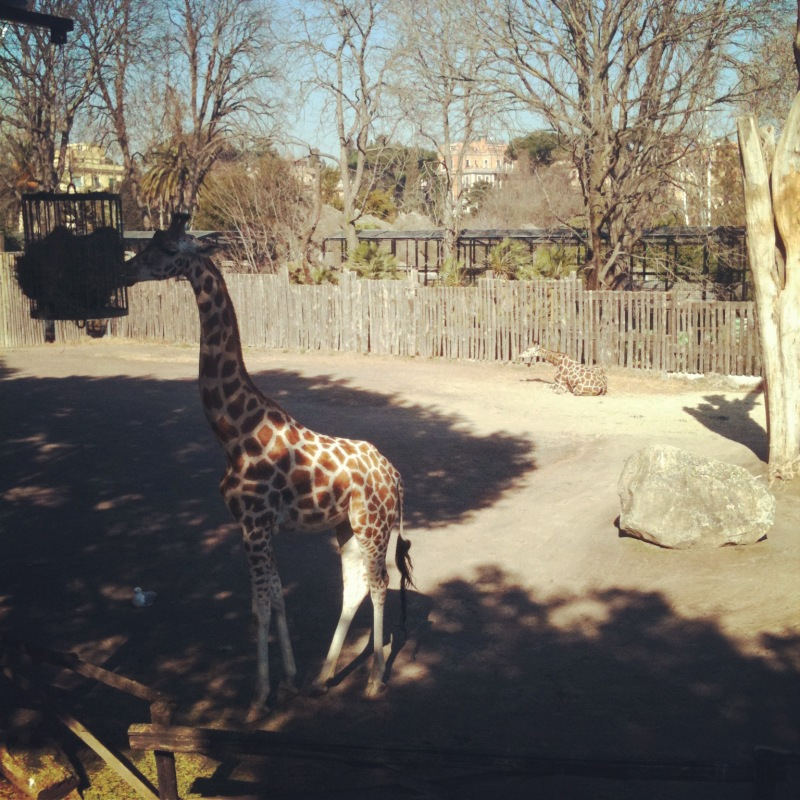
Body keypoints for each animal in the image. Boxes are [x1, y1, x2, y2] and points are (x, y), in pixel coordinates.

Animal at [126, 214, 412, 720]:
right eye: (151, 244)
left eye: (165, 250)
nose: (126, 269)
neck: (234, 431)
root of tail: (395, 477)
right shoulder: (256, 525)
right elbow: (276, 597)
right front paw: (291, 680)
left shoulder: (254, 522)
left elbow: (260, 605)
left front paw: (259, 696)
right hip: (344, 527)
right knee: (355, 584)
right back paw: (322, 678)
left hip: (372, 524)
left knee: (380, 583)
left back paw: (375, 679)